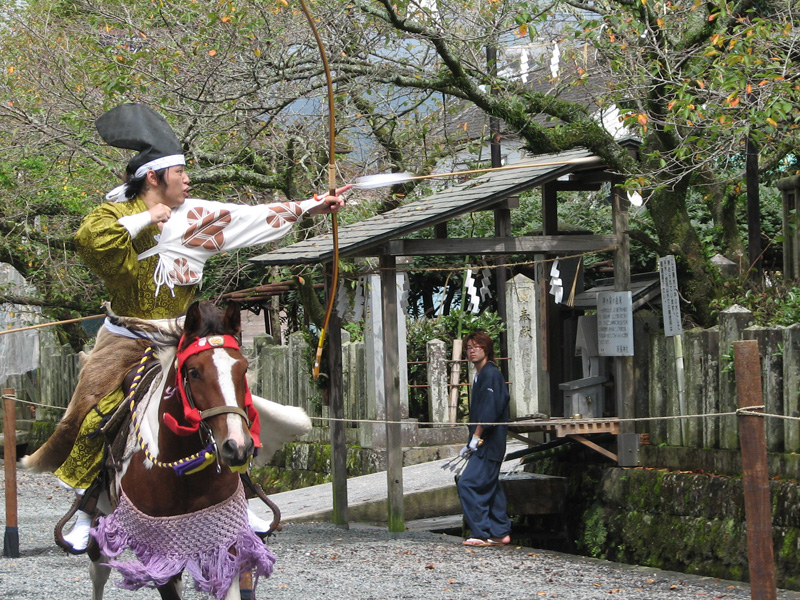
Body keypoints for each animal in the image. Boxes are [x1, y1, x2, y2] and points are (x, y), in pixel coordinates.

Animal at [81, 300, 282, 600]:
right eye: (195, 372)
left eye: (243, 369)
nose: (237, 445)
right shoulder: (159, 553)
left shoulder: (223, 543)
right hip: (101, 515)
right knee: (98, 570)